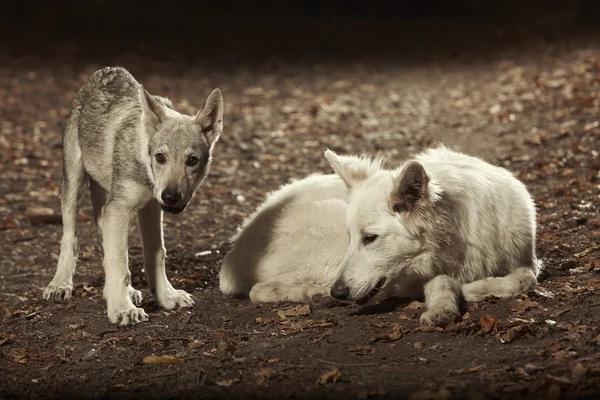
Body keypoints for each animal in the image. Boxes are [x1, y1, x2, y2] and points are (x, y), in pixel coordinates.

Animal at [43, 66, 224, 324]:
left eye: (192, 160)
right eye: (160, 157)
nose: (170, 196)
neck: (144, 165)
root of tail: (104, 71)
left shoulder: (150, 209)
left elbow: (155, 254)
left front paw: (166, 296)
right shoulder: (119, 209)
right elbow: (119, 261)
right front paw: (122, 309)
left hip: (110, 206)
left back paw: (123, 291)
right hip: (74, 184)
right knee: (71, 238)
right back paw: (60, 284)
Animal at [218, 145, 540, 326]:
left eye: (369, 238)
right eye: (353, 236)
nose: (338, 292)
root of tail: (235, 249)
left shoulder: (524, 258)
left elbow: (525, 278)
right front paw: (457, 297)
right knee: (258, 290)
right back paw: (315, 294)